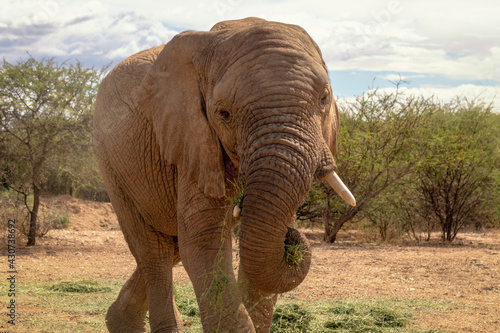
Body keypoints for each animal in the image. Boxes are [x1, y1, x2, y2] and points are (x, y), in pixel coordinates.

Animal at [92, 16, 354, 332]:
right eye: (223, 114)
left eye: (324, 98)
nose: (293, 237)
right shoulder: (193, 137)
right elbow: (203, 240)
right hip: (111, 163)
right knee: (153, 250)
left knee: (170, 244)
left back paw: (118, 321)